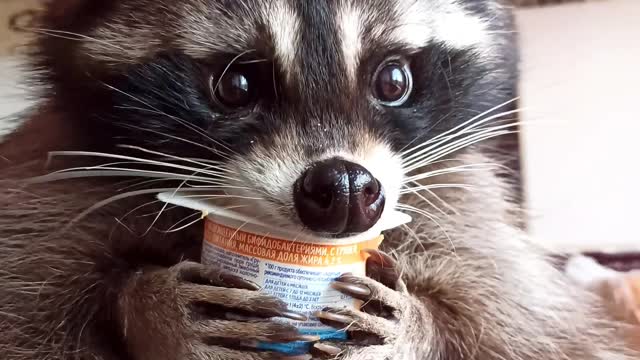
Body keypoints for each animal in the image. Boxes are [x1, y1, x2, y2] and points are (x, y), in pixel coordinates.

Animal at [0, 0, 636, 360]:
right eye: (237, 85)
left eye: (394, 79)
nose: (348, 191)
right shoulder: (49, 188)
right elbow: (29, 325)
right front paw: (148, 306)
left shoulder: (465, 210)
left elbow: (532, 331)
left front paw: (417, 327)